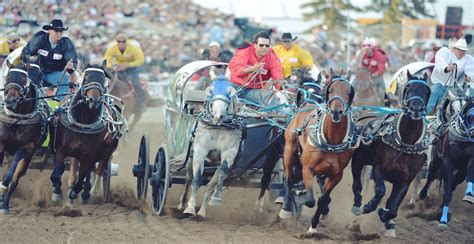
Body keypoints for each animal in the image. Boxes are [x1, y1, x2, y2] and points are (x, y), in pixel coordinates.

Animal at [0, 62, 48, 212]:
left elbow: (15, 163)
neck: (18, 118)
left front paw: (4, 184)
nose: (10, 101)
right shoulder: (1, 143)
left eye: (23, 79)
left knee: (15, 179)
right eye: (8, 77)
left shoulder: (28, 147)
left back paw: (5, 203)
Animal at [278, 69, 356, 234]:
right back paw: (286, 208)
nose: (336, 111)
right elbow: (310, 200)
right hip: (289, 149)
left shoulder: (336, 175)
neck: (332, 141)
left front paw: (314, 226)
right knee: (288, 178)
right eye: (330, 89)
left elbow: (323, 199)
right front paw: (300, 196)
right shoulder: (307, 167)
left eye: (348, 92)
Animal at [350, 71, 432, 238]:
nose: (416, 109)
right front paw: (369, 206)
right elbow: (380, 190)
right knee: (357, 183)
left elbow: (393, 207)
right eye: (408, 89)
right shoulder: (378, 168)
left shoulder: (405, 180)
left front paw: (386, 217)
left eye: (427, 92)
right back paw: (357, 204)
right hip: (359, 159)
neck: (405, 142)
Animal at [418, 96, 474, 226]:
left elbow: (469, 176)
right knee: (431, 175)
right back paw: (423, 194)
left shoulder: (468, 163)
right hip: (436, 160)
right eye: (470, 117)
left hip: (459, 172)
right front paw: (443, 220)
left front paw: (469, 196)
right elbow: (447, 191)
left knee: (453, 183)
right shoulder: (448, 162)